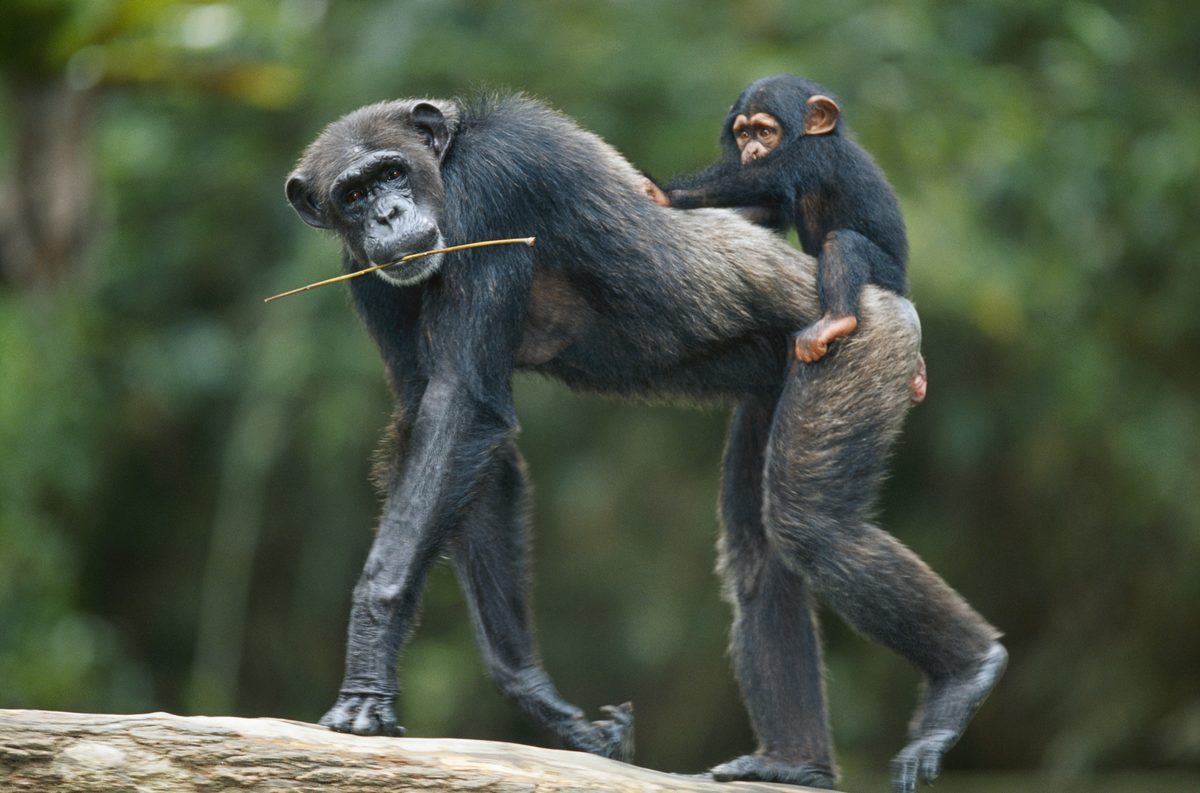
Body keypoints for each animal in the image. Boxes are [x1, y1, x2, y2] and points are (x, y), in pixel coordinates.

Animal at [645, 74, 927, 401]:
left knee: (844, 243)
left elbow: (764, 178)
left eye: (766, 132)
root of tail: (903, 288)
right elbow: (766, 209)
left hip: (888, 275)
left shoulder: (811, 155)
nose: (751, 151)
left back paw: (836, 321)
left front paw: (664, 194)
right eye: (743, 134)